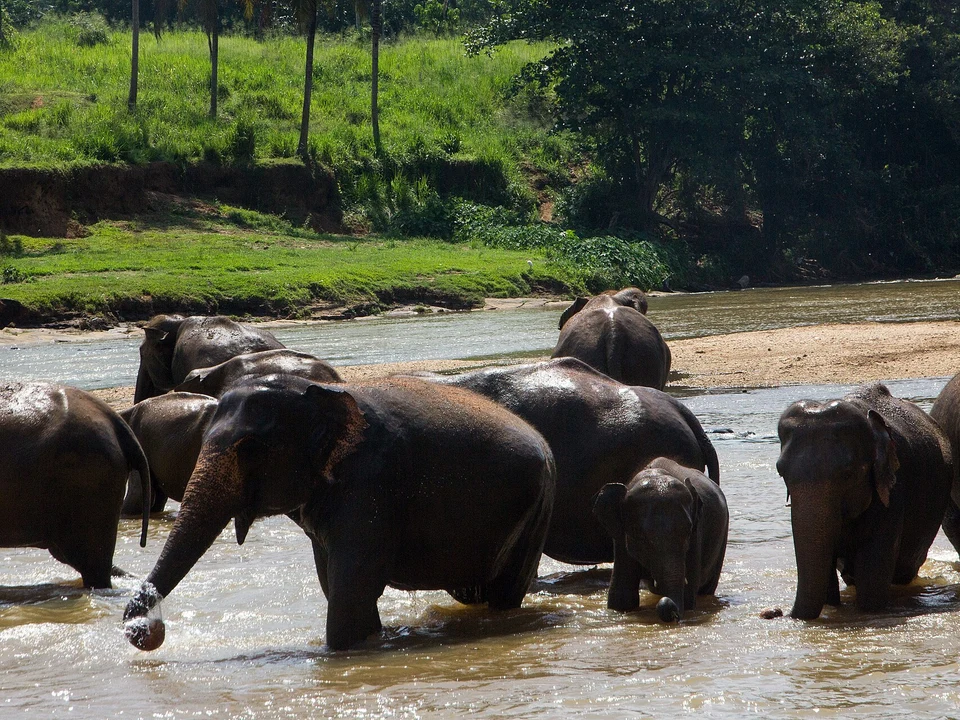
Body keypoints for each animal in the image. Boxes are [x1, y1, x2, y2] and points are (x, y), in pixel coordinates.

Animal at [123, 375, 555, 652]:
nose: (143, 629)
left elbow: (351, 589)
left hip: (536, 510)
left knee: (505, 592)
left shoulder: (370, 485)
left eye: (250, 449)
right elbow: (335, 585)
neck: (321, 395)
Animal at [593, 457, 728, 621]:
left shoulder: (697, 533)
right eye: (639, 535)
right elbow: (622, 596)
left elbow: (688, 595)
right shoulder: (620, 537)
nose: (673, 613)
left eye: (688, 531)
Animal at [776, 383, 952, 619]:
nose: (779, 613)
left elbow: (872, 573)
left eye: (848, 474)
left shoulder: (893, 490)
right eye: (780, 471)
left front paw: (867, 612)